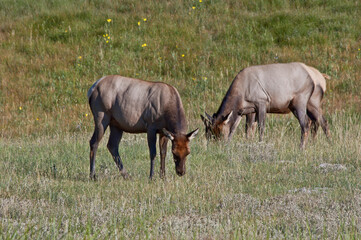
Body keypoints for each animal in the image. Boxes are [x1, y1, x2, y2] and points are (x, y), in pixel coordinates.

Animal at [201, 62, 330, 148]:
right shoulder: (245, 111)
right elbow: (240, 128)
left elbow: (260, 127)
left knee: (306, 123)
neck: (241, 94)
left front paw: (260, 143)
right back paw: (326, 143)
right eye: (209, 133)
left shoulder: (262, 102)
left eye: (220, 133)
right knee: (321, 121)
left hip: (300, 101)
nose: (218, 147)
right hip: (310, 103)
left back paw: (301, 147)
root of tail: (318, 78)